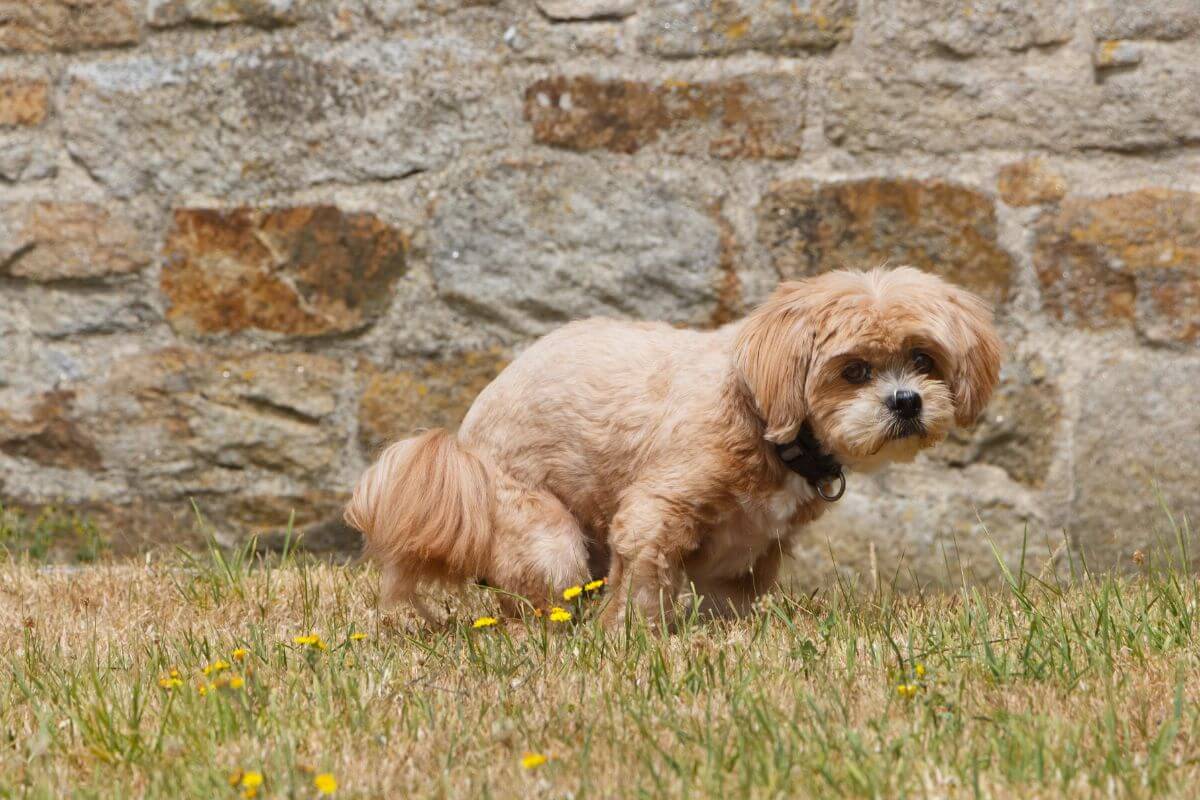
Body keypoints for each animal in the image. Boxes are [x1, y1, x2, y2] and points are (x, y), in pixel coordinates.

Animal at [348, 268, 1003, 623]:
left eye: (924, 360)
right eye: (855, 371)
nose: (906, 401)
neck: (764, 418)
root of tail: (464, 443)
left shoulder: (745, 552)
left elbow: (728, 604)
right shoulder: (654, 514)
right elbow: (641, 590)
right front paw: (630, 640)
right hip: (546, 537)